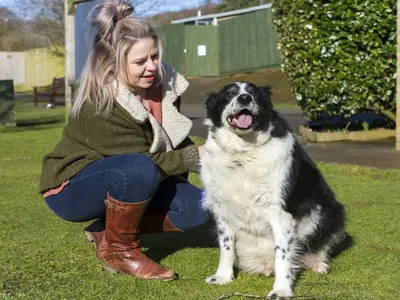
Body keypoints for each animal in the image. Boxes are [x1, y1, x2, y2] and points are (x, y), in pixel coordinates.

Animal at [202, 81, 346, 298]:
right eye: (228, 94)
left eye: (254, 94)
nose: (245, 98)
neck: (243, 151)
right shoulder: (223, 210)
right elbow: (226, 247)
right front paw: (223, 277)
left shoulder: (280, 213)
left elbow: (282, 255)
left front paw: (282, 289)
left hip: (333, 212)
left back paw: (319, 265)